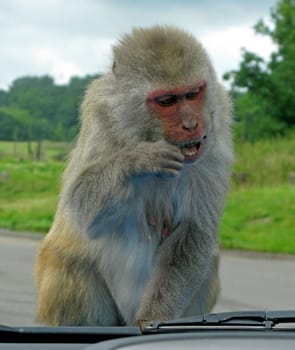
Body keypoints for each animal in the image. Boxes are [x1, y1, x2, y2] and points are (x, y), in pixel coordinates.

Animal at [34, 26, 234, 326]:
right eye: (167, 101)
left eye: (193, 94)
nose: (191, 125)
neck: (145, 131)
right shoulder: (100, 116)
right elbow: (80, 201)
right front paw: (140, 160)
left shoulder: (215, 136)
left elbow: (194, 230)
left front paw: (154, 318)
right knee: (70, 260)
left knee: (209, 262)